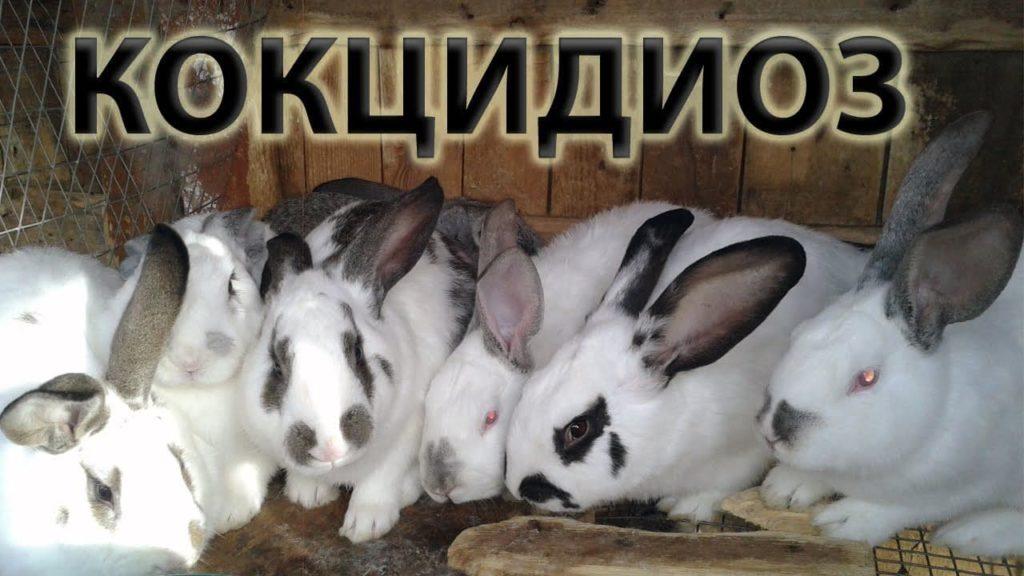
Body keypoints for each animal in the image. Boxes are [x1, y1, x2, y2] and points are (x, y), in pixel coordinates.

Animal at [239, 176, 475, 542]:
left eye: (357, 352)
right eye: (276, 365)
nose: (330, 446)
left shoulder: (408, 430)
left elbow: (381, 477)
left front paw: (366, 524)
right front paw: (308, 495)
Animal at [503, 209, 867, 520]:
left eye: (578, 429)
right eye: (528, 392)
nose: (519, 486)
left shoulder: (742, 451)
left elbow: (722, 484)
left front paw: (689, 508)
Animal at [757, 111, 1024, 557]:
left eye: (867, 378)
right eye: (797, 334)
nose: (776, 430)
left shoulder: (960, 486)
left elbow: (901, 508)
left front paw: (845, 522)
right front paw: (787, 487)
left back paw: (972, 532)